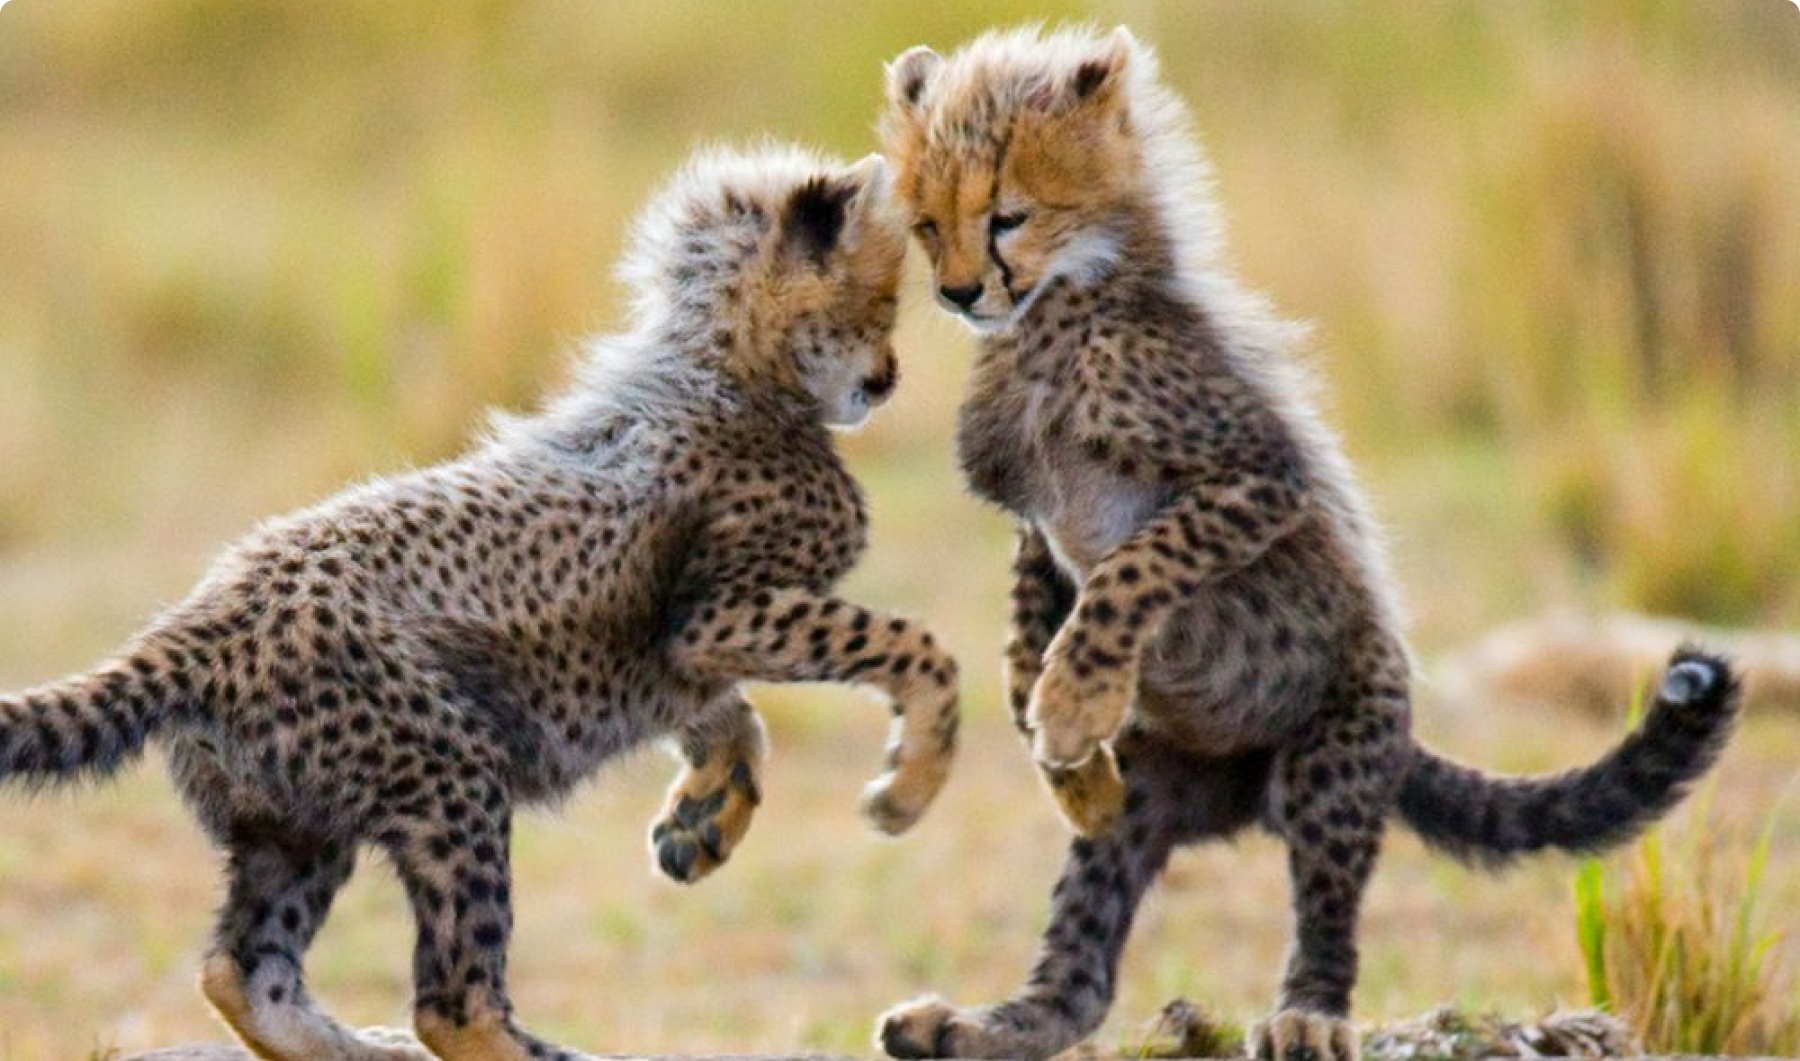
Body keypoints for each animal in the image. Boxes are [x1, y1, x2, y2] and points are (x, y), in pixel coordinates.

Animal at [0, 144, 961, 1061]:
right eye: (883, 302)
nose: (887, 377)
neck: (723, 368)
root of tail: (199, 618)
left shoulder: (677, 658)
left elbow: (732, 715)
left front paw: (704, 819)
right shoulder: (718, 616)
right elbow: (914, 646)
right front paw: (908, 786)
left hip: (296, 819)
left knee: (242, 971)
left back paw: (361, 1049)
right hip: (450, 774)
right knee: (450, 1004)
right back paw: (545, 1054)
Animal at [872, 25, 1740, 1061]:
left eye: (1007, 216)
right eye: (927, 223)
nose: (961, 292)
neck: (1057, 308)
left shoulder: (1256, 479)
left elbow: (1130, 570)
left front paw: (1073, 708)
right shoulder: (1036, 522)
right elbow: (1028, 613)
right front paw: (1055, 741)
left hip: (1334, 751)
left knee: (1327, 910)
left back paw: (1307, 1014)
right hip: (1151, 793)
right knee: (1079, 974)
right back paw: (973, 1022)